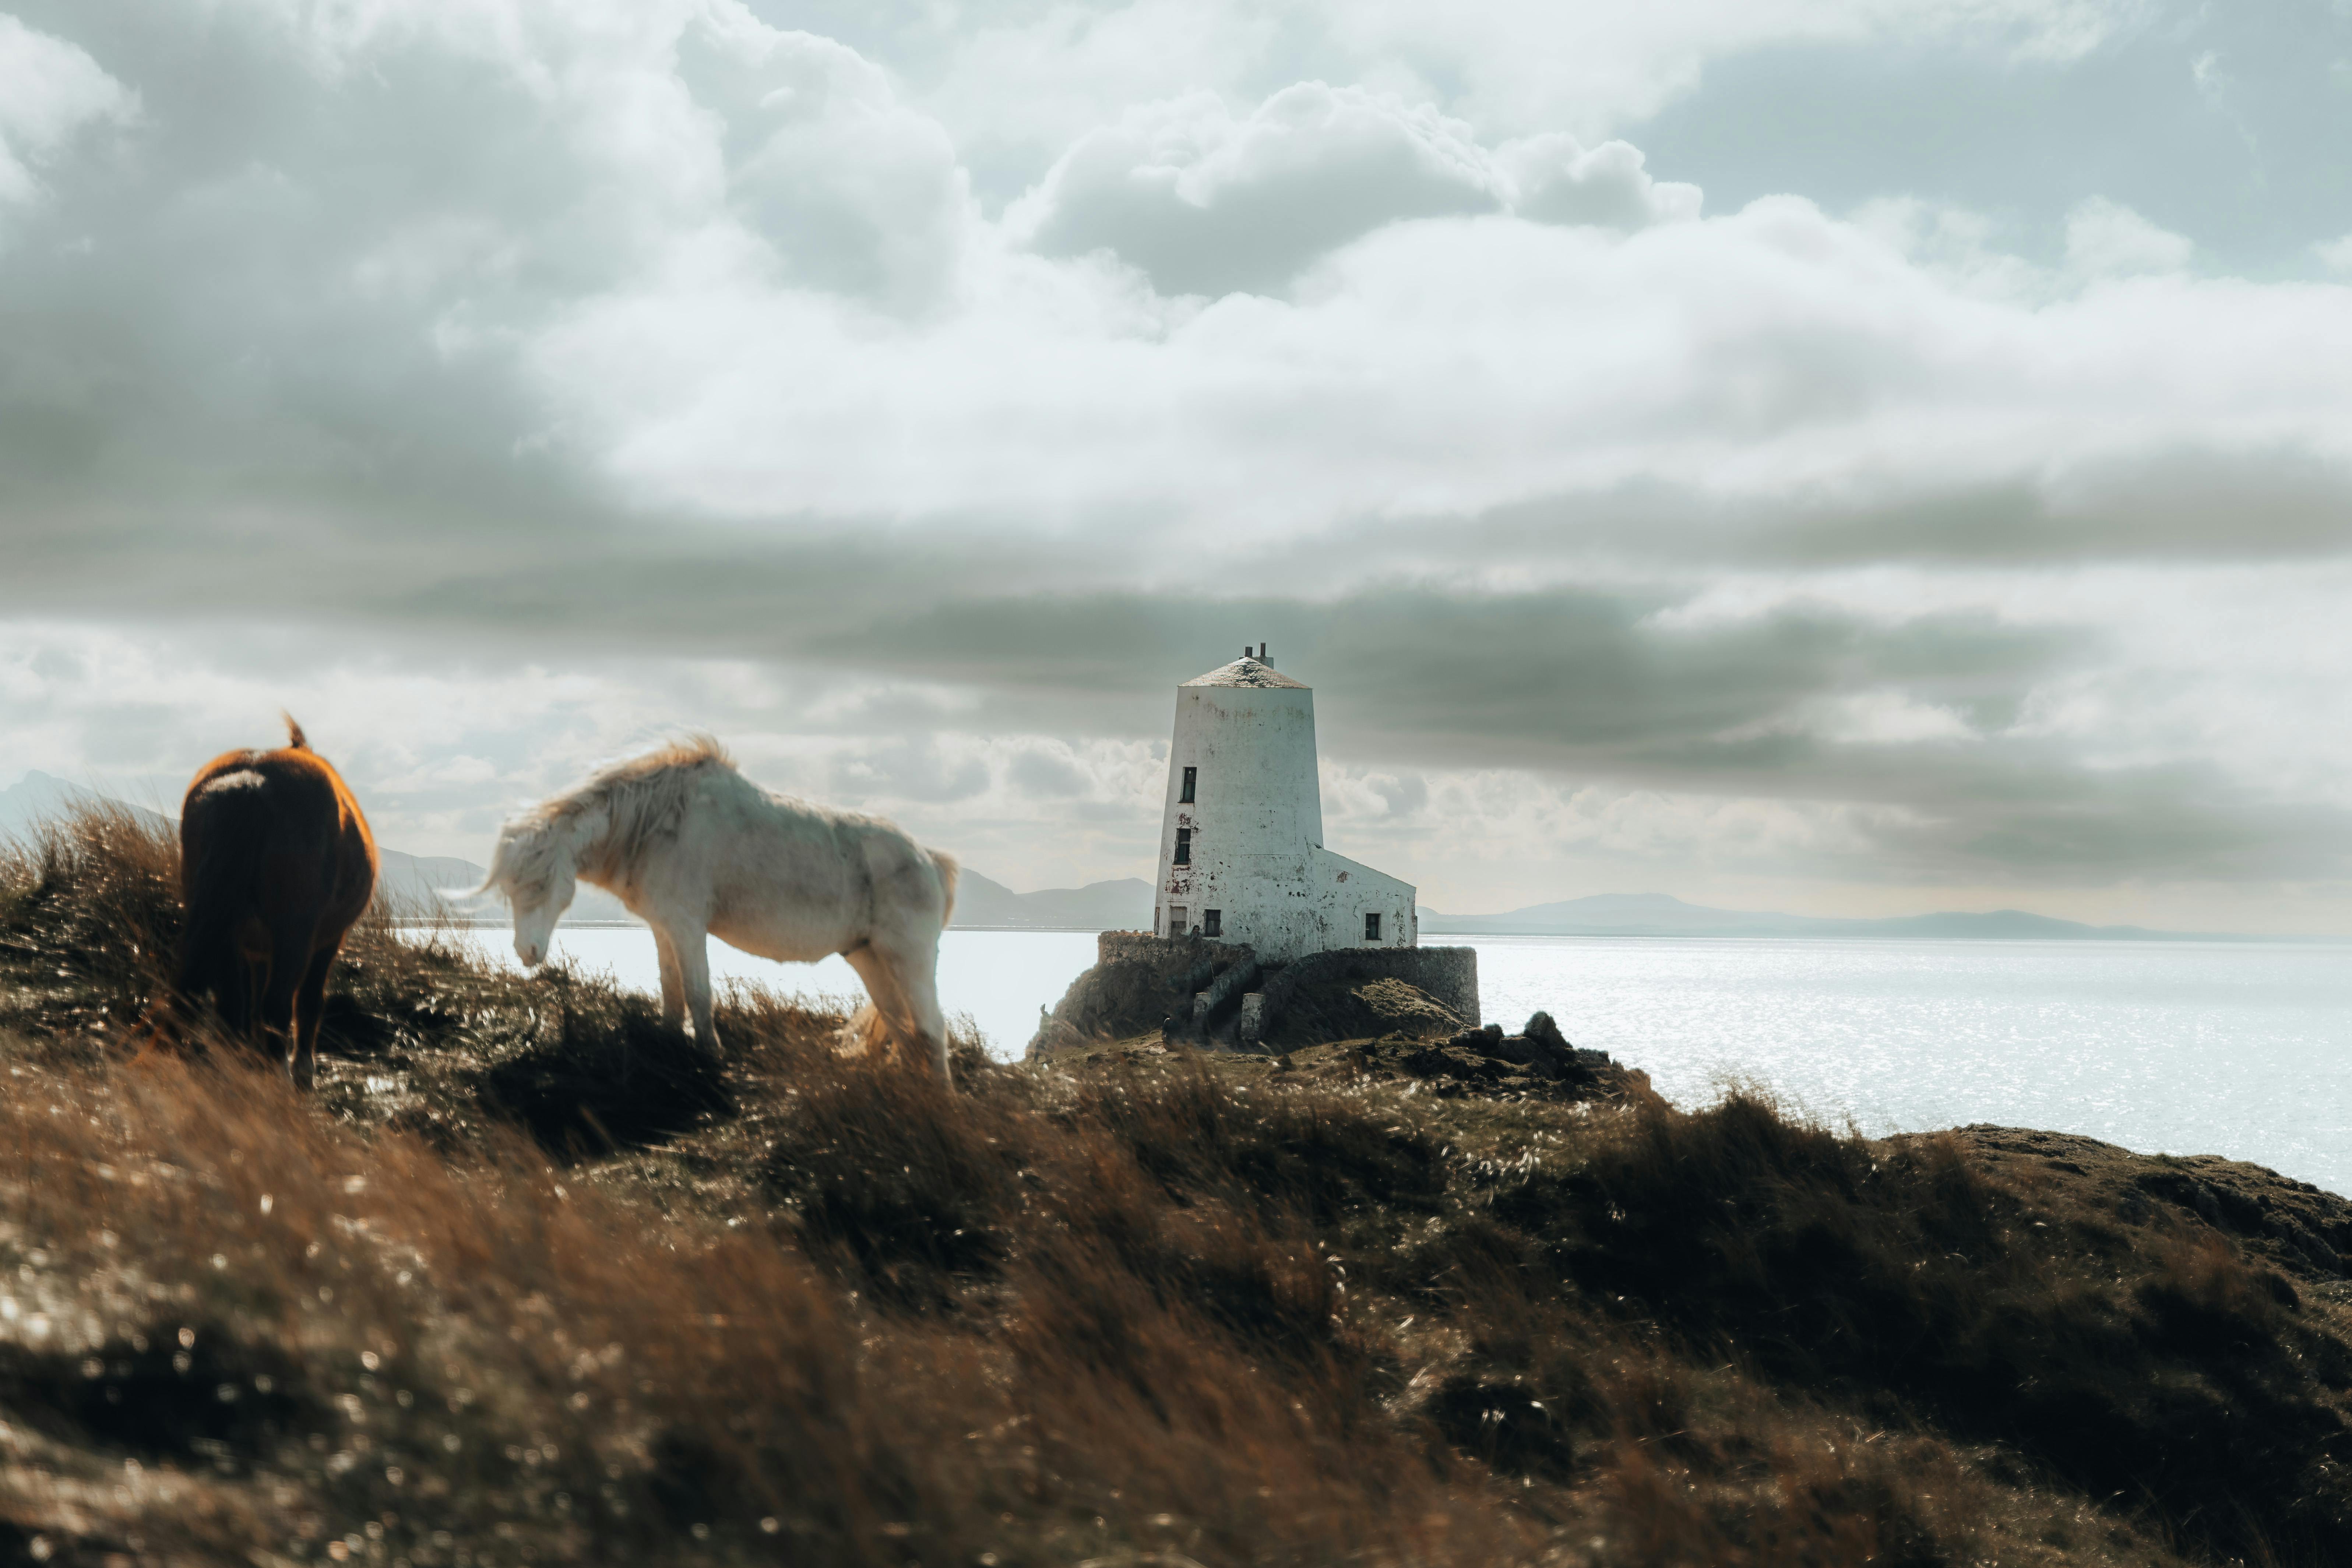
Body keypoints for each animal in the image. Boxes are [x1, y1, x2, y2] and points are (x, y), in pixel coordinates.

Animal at [175, 716, 378, 1088]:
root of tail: (251, 783)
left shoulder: (254, 951)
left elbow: (252, 1006)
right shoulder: (329, 939)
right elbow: (309, 1000)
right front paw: (304, 1069)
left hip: (226, 933)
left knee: (233, 1007)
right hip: (293, 934)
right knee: (278, 1006)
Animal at [480, 737, 962, 1086]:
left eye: (541, 883)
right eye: (509, 888)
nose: (526, 951)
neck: (656, 822)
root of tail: (929, 859)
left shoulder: (688, 927)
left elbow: (698, 995)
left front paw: (710, 1056)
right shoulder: (664, 928)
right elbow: (672, 994)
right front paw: (669, 1045)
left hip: (909, 959)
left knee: (932, 1031)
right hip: (869, 957)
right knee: (905, 1030)